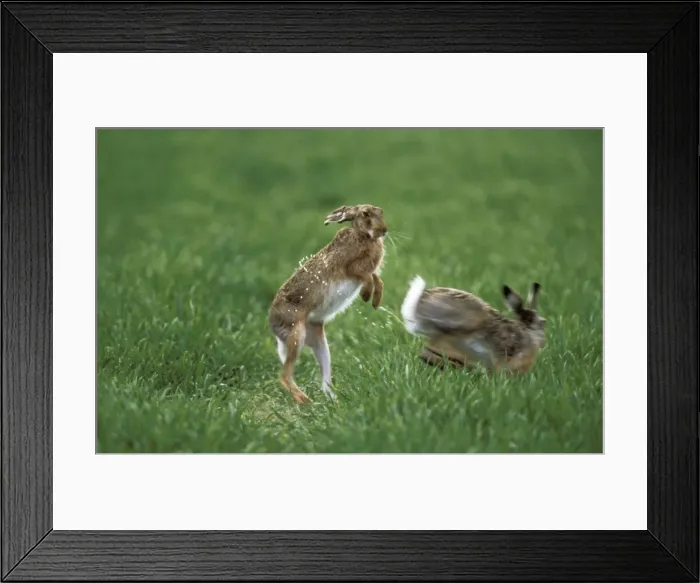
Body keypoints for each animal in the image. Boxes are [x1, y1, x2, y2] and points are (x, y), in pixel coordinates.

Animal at [268, 204, 388, 404]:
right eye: (365, 214)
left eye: (381, 211)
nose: (384, 231)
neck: (362, 234)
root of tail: (272, 322)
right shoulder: (352, 268)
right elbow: (366, 276)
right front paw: (365, 294)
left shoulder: (369, 270)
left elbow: (377, 279)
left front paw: (375, 301)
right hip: (296, 333)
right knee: (285, 375)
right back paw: (305, 401)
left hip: (319, 340)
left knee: (324, 376)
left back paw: (333, 401)